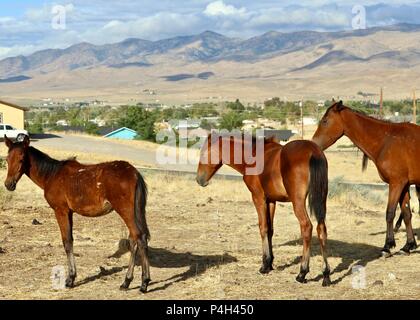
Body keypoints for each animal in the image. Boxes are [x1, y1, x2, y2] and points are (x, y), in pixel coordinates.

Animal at [3, 135, 151, 292]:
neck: (52, 175)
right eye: (7, 159)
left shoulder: (60, 211)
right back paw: (128, 282)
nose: (9, 184)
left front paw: (70, 279)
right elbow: (71, 240)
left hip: (125, 211)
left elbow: (67, 241)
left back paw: (142, 283)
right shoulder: (69, 212)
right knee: (134, 239)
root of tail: (134, 173)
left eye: (21, 158)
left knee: (139, 237)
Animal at [196, 132, 332, 284]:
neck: (253, 156)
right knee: (321, 229)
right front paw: (270, 263)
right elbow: (270, 229)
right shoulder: (271, 201)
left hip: (298, 202)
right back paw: (326, 275)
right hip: (321, 199)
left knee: (306, 227)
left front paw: (264, 265)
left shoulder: (258, 198)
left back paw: (302, 273)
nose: (199, 179)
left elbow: (263, 228)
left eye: (203, 154)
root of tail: (313, 151)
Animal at [314, 101, 418, 256]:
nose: (313, 143)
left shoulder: (396, 184)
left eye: (325, 121)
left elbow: (390, 213)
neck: (387, 140)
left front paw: (387, 246)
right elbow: (406, 214)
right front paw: (409, 245)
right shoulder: (404, 185)